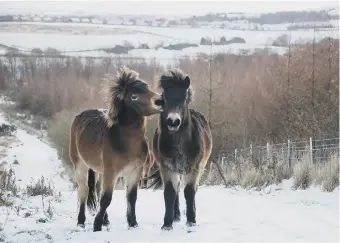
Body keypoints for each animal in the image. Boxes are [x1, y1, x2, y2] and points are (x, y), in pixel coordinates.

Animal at [68, 66, 162, 232]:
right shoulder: (111, 172)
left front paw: (133, 224)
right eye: (134, 96)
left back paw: (105, 220)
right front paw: (97, 226)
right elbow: (106, 198)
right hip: (80, 165)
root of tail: (80, 116)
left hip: (100, 171)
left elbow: (131, 197)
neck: (126, 142)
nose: (160, 101)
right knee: (84, 191)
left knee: (97, 191)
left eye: (148, 88)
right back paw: (81, 221)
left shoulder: (135, 171)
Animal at [149, 69, 212, 233]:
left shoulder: (194, 168)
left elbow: (189, 192)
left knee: (193, 189)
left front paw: (191, 222)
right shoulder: (167, 168)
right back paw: (176, 215)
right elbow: (170, 193)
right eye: (164, 99)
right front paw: (167, 224)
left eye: (184, 99)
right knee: (177, 190)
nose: (173, 121)